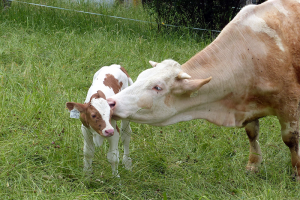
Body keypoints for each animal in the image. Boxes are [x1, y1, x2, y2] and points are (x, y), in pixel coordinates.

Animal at [106, 0, 300, 180]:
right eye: (140, 77)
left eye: (158, 87)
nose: (111, 102)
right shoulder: (248, 104)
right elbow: (252, 133)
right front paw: (253, 165)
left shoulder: (289, 103)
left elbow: (290, 138)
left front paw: (296, 172)